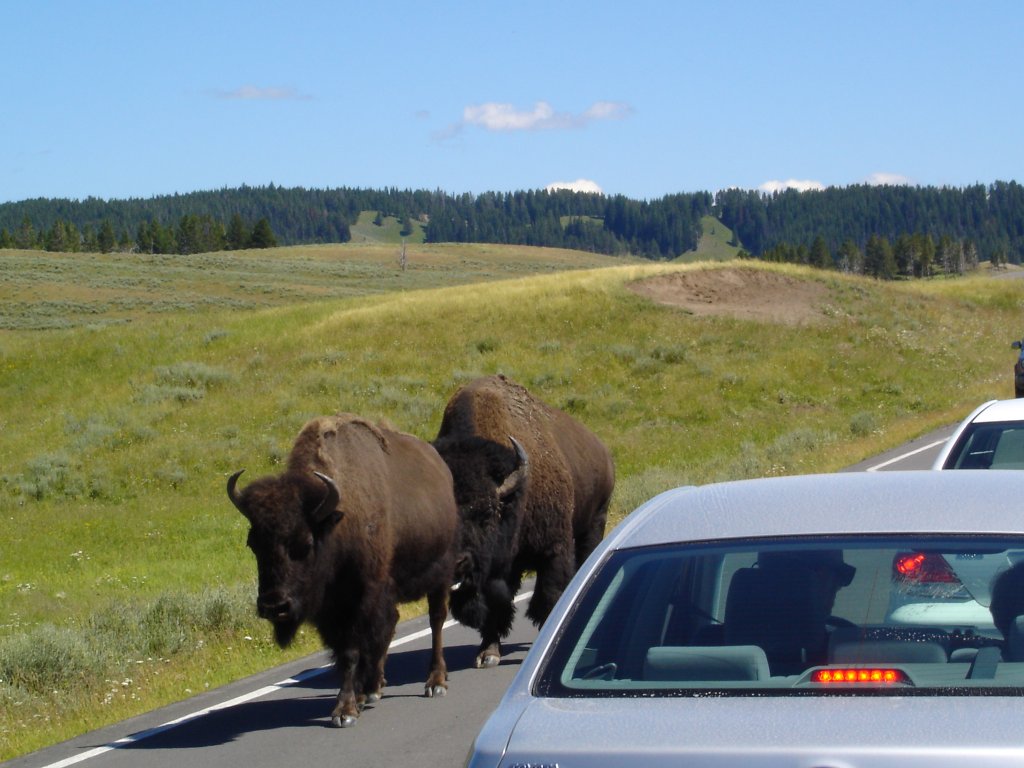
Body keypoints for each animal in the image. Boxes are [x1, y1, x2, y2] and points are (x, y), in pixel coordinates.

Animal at [232, 415, 460, 729]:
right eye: (253, 543)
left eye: (305, 543)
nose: (274, 605)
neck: (336, 523)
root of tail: (441, 469)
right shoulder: (332, 611)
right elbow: (345, 652)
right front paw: (359, 696)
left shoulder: (358, 600)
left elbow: (353, 649)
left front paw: (345, 710)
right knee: (391, 625)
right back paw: (374, 687)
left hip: (440, 573)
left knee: (436, 619)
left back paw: (435, 682)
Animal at [434, 376, 614, 671]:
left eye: (486, 512)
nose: (458, 562)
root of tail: (601, 450)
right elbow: (496, 607)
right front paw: (488, 653)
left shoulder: (553, 551)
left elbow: (549, 596)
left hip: (594, 524)